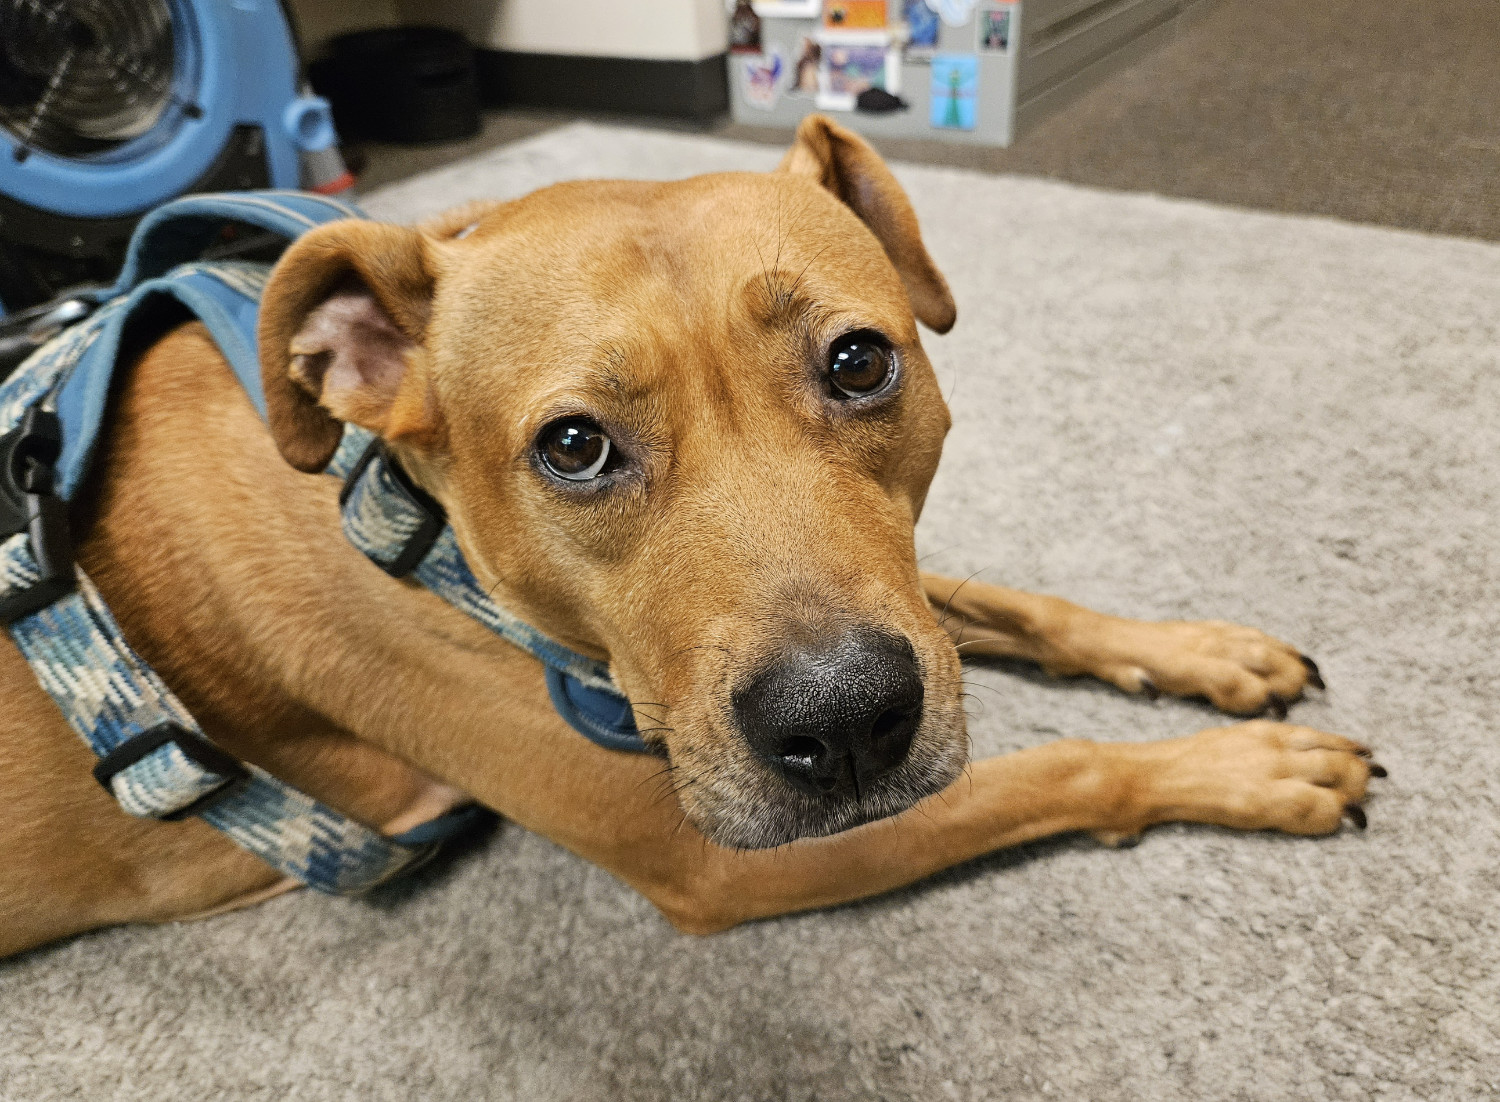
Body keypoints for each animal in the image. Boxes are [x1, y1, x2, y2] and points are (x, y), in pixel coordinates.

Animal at [0, 118, 1374, 959]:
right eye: (572, 446)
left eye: (861, 361)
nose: (846, 720)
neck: (405, 519)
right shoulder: (712, 858)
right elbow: (1061, 770)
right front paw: (1250, 772)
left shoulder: (898, 599)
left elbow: (1012, 604)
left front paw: (1208, 655)